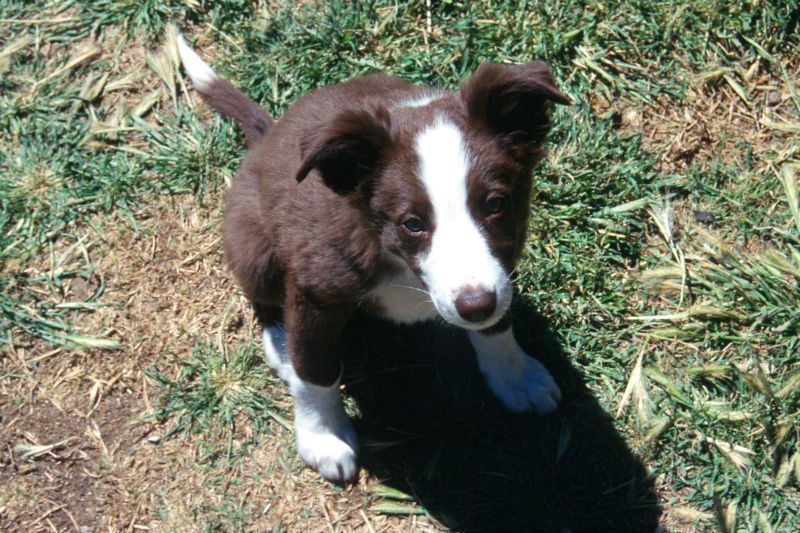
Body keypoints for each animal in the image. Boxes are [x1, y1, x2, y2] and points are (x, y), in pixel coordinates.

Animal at [179, 35, 572, 480]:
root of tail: (266, 135)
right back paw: (282, 349)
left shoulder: (500, 271)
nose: (474, 307)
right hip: (253, 249)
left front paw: (515, 375)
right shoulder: (314, 290)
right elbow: (315, 368)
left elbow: (498, 324)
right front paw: (322, 436)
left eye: (497, 204)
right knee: (266, 301)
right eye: (412, 223)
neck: (396, 260)